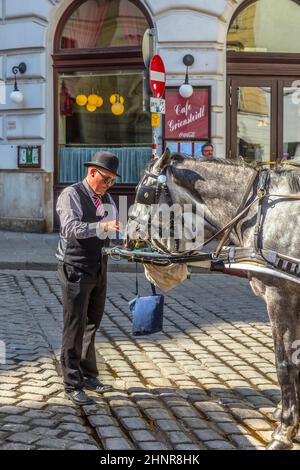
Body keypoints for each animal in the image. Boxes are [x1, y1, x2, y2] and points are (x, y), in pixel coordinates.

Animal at [126, 151, 300, 452]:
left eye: (144, 194)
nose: (126, 234)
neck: (259, 213)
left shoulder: (281, 296)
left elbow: (285, 363)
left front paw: (284, 431)